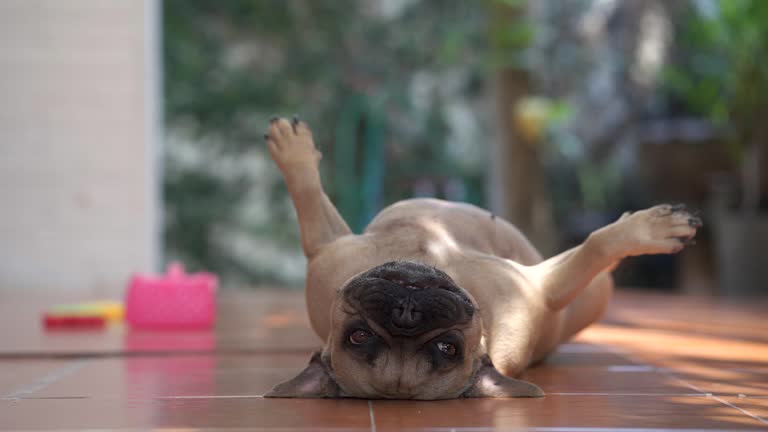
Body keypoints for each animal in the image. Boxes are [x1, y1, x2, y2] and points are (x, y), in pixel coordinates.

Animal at [264, 116, 704, 400]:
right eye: (358, 336)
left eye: (446, 349)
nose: (406, 312)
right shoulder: (540, 287)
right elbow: (595, 245)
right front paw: (650, 231)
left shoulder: (327, 247)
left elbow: (308, 196)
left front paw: (293, 151)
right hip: (588, 293)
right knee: (594, 273)